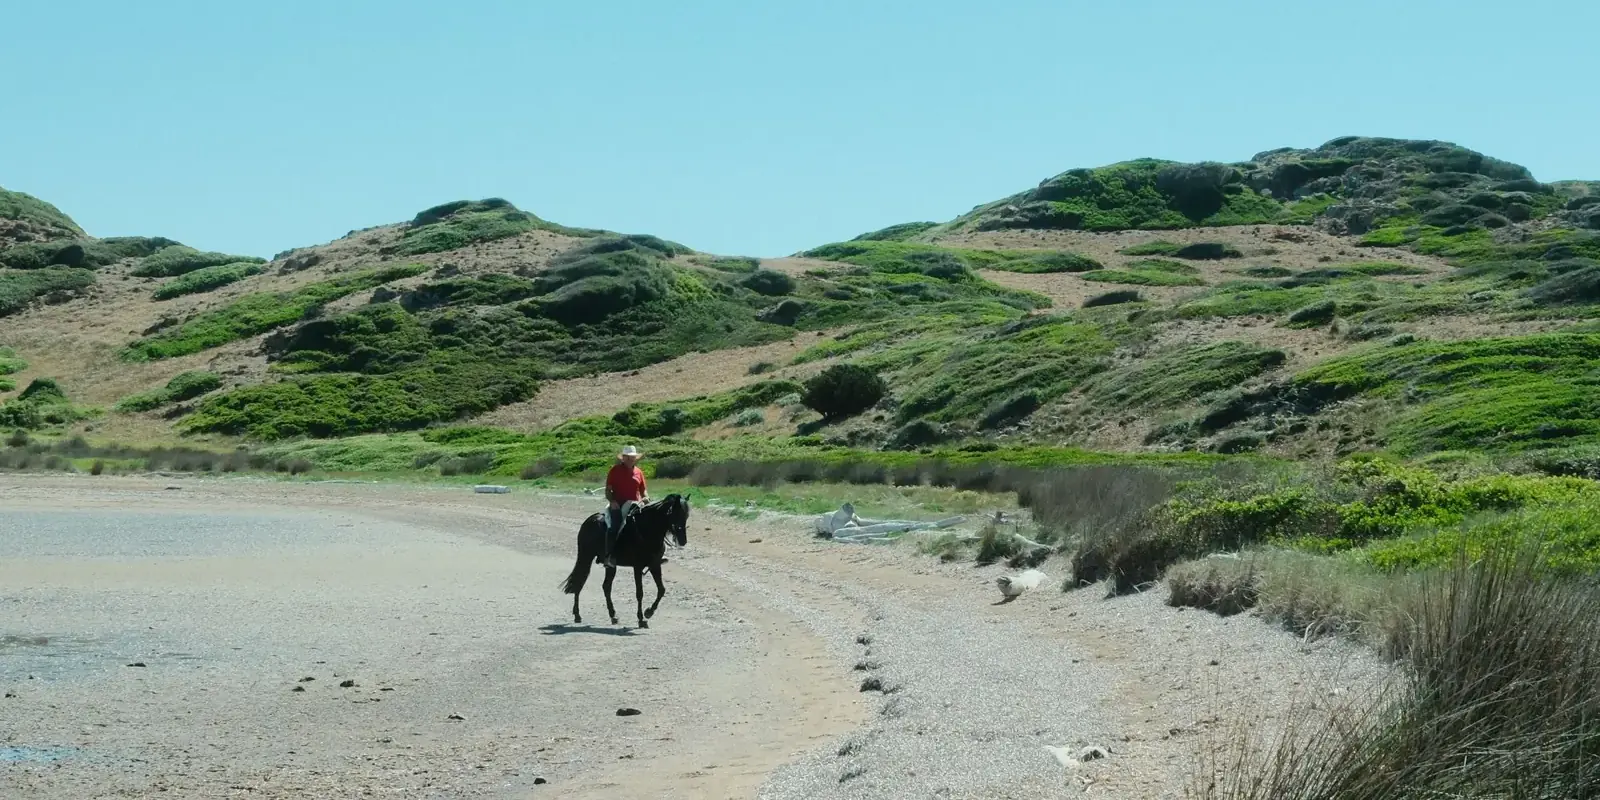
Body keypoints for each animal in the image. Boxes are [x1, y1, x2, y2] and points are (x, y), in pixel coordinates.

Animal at [558, 494, 690, 628]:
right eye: (676, 514)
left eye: (686, 515)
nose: (683, 540)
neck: (647, 531)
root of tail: (590, 520)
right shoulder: (637, 567)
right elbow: (639, 593)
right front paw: (641, 619)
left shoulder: (655, 565)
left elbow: (661, 590)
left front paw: (649, 612)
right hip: (586, 557)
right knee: (580, 581)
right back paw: (577, 615)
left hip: (610, 566)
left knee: (605, 587)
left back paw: (613, 615)